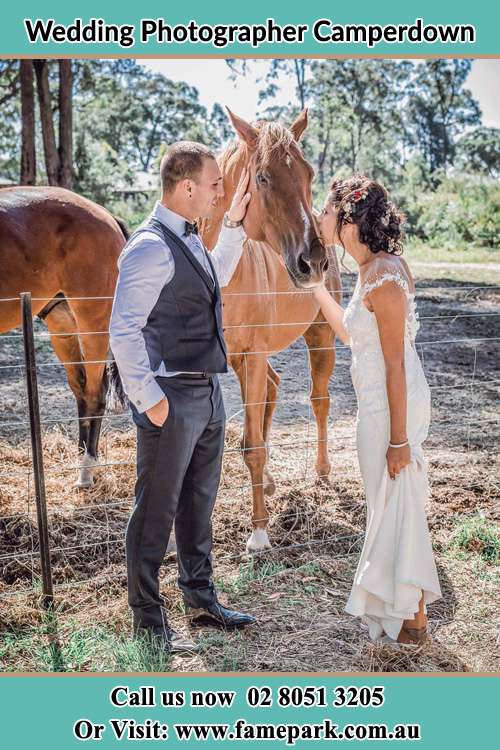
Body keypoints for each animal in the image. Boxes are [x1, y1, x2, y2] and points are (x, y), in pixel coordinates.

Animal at [0, 188, 127, 488]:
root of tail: (107, 216)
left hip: (93, 323)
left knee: (95, 393)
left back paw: (86, 469)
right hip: (62, 324)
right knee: (81, 389)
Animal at [201, 111, 342, 556]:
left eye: (309, 172)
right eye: (262, 177)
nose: (312, 261)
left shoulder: (253, 355)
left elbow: (252, 446)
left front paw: (259, 532)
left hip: (320, 340)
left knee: (319, 401)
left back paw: (322, 472)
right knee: (275, 389)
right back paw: (271, 482)